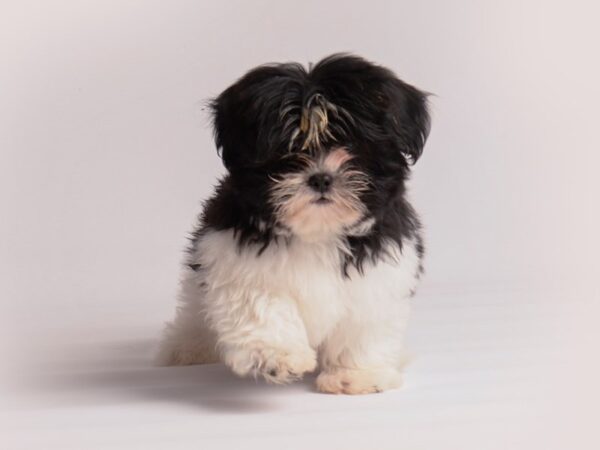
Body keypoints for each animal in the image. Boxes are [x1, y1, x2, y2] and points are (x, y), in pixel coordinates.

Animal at [158, 53, 432, 394]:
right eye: (287, 149)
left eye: (353, 146)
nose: (321, 177)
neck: (318, 233)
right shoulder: (235, 256)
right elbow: (263, 303)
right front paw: (277, 356)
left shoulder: (380, 271)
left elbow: (364, 323)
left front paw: (355, 374)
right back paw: (189, 348)